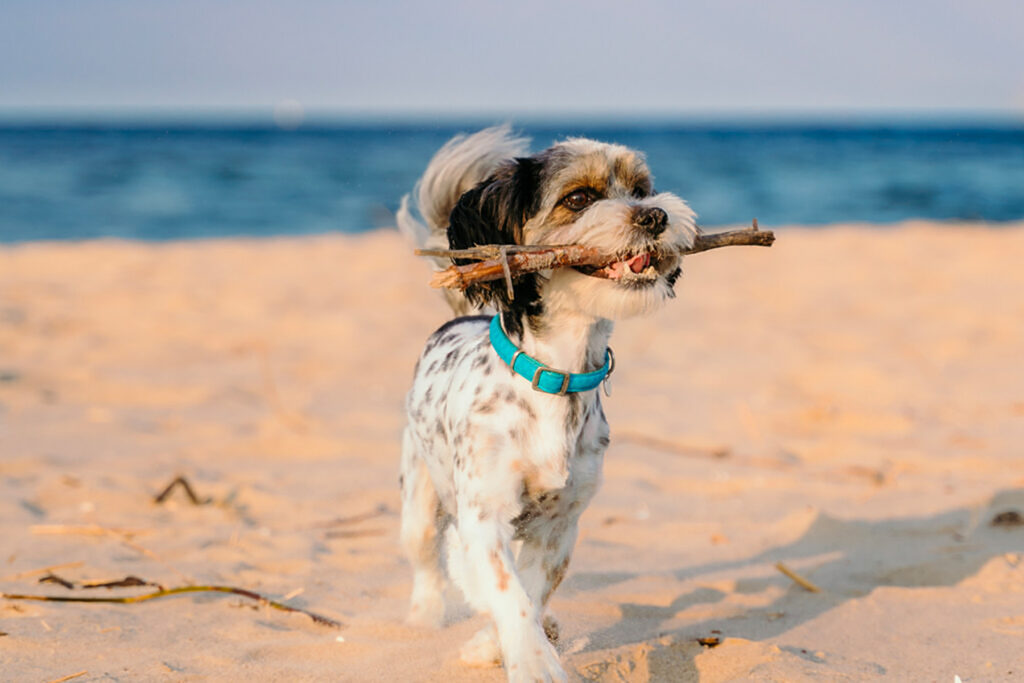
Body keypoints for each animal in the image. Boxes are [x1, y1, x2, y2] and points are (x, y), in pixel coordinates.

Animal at [395, 125, 700, 679]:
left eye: (641, 190)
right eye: (577, 199)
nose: (654, 215)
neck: (557, 377)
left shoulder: (562, 524)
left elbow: (533, 591)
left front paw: (498, 644)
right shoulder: (483, 515)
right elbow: (505, 590)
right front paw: (532, 660)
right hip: (420, 500)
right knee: (428, 564)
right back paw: (424, 618)